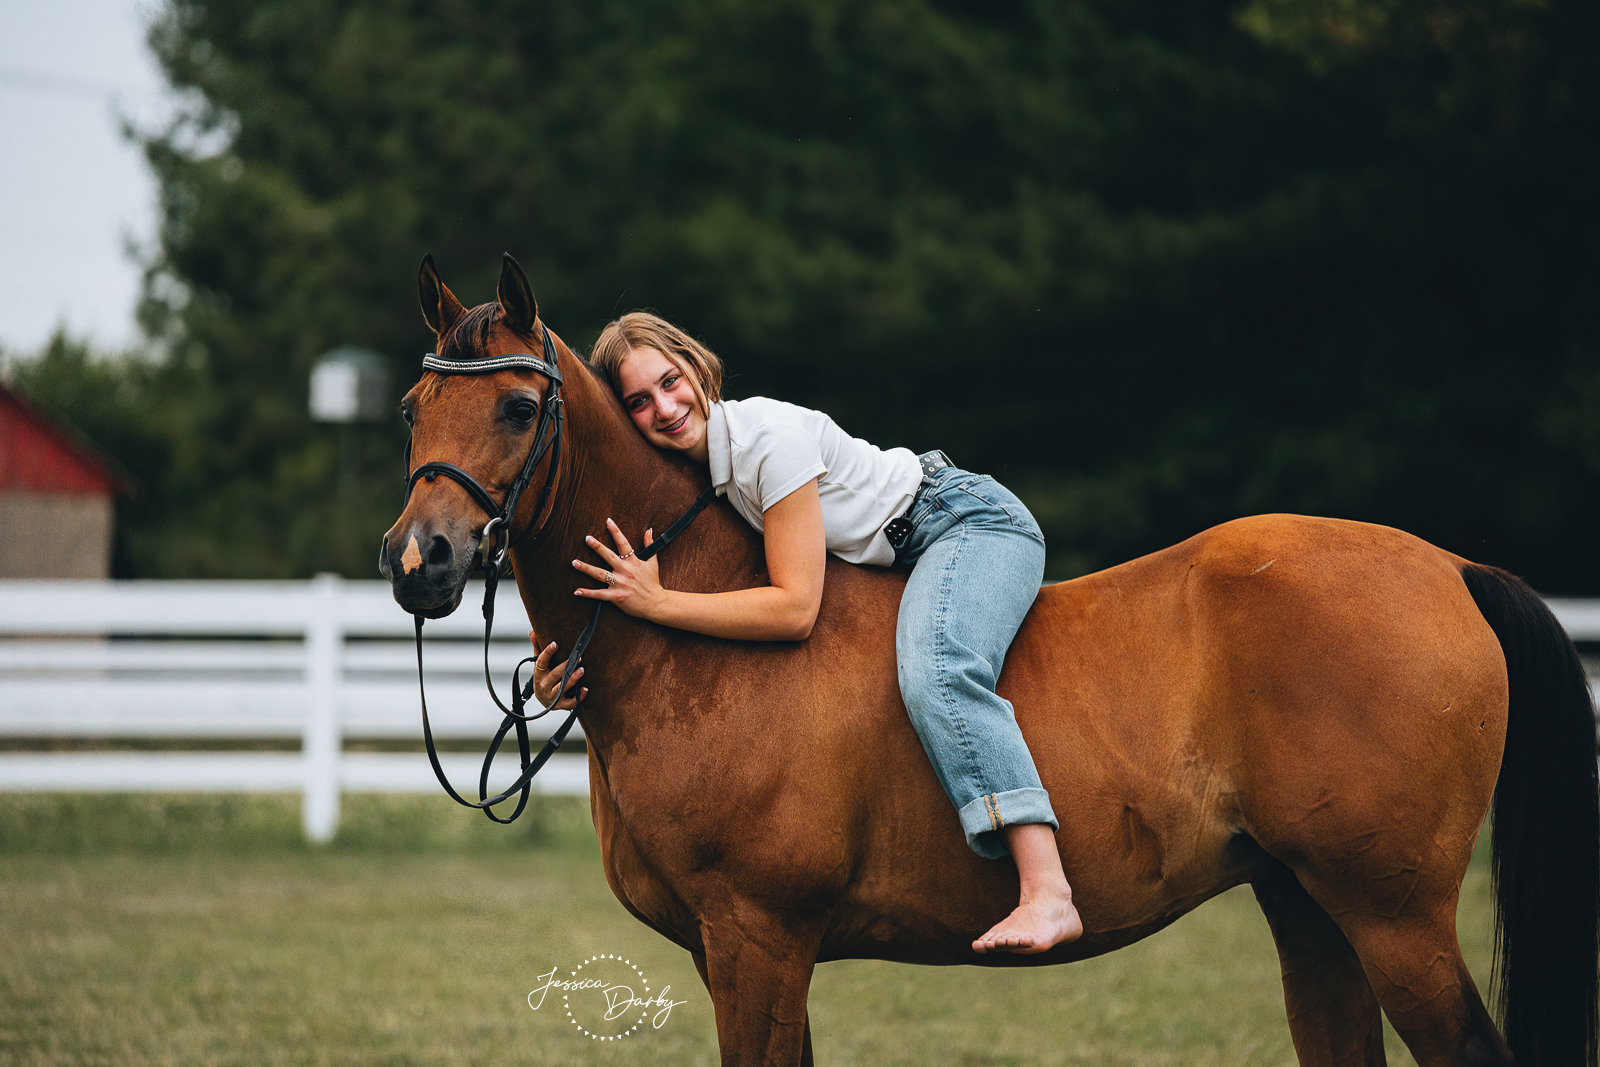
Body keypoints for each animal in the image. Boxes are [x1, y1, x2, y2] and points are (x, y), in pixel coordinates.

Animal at [380, 255, 1593, 1067]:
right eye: (411, 406)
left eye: (519, 404)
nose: (417, 560)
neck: (705, 641)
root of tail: (1448, 565)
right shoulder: (744, 952)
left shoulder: (758, 938)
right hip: (1309, 905)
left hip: (1392, 918)